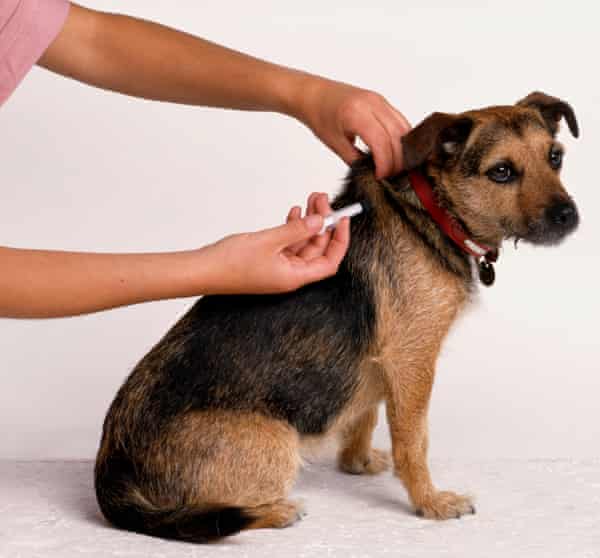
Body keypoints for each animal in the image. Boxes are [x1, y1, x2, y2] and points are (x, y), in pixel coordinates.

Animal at [96, 92, 580, 544]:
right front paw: (430, 502)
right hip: (277, 445)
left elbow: (365, 415)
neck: (431, 211)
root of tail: (111, 477)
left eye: (555, 157)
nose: (569, 217)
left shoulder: (380, 367)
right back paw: (277, 511)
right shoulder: (412, 361)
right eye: (501, 172)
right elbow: (413, 441)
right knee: (215, 515)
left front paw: (358, 463)